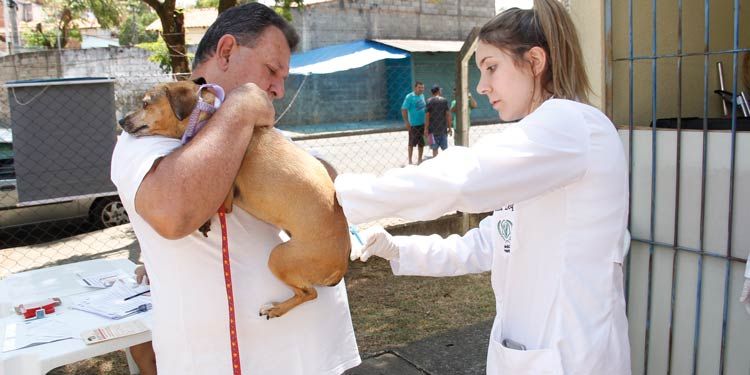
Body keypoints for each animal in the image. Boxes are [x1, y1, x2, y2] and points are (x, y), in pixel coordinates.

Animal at [118, 80, 352, 320]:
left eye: (145, 104)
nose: (121, 121)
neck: (207, 118)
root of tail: (340, 267)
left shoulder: (228, 197)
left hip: (279, 257)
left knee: (309, 293)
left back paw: (275, 309)